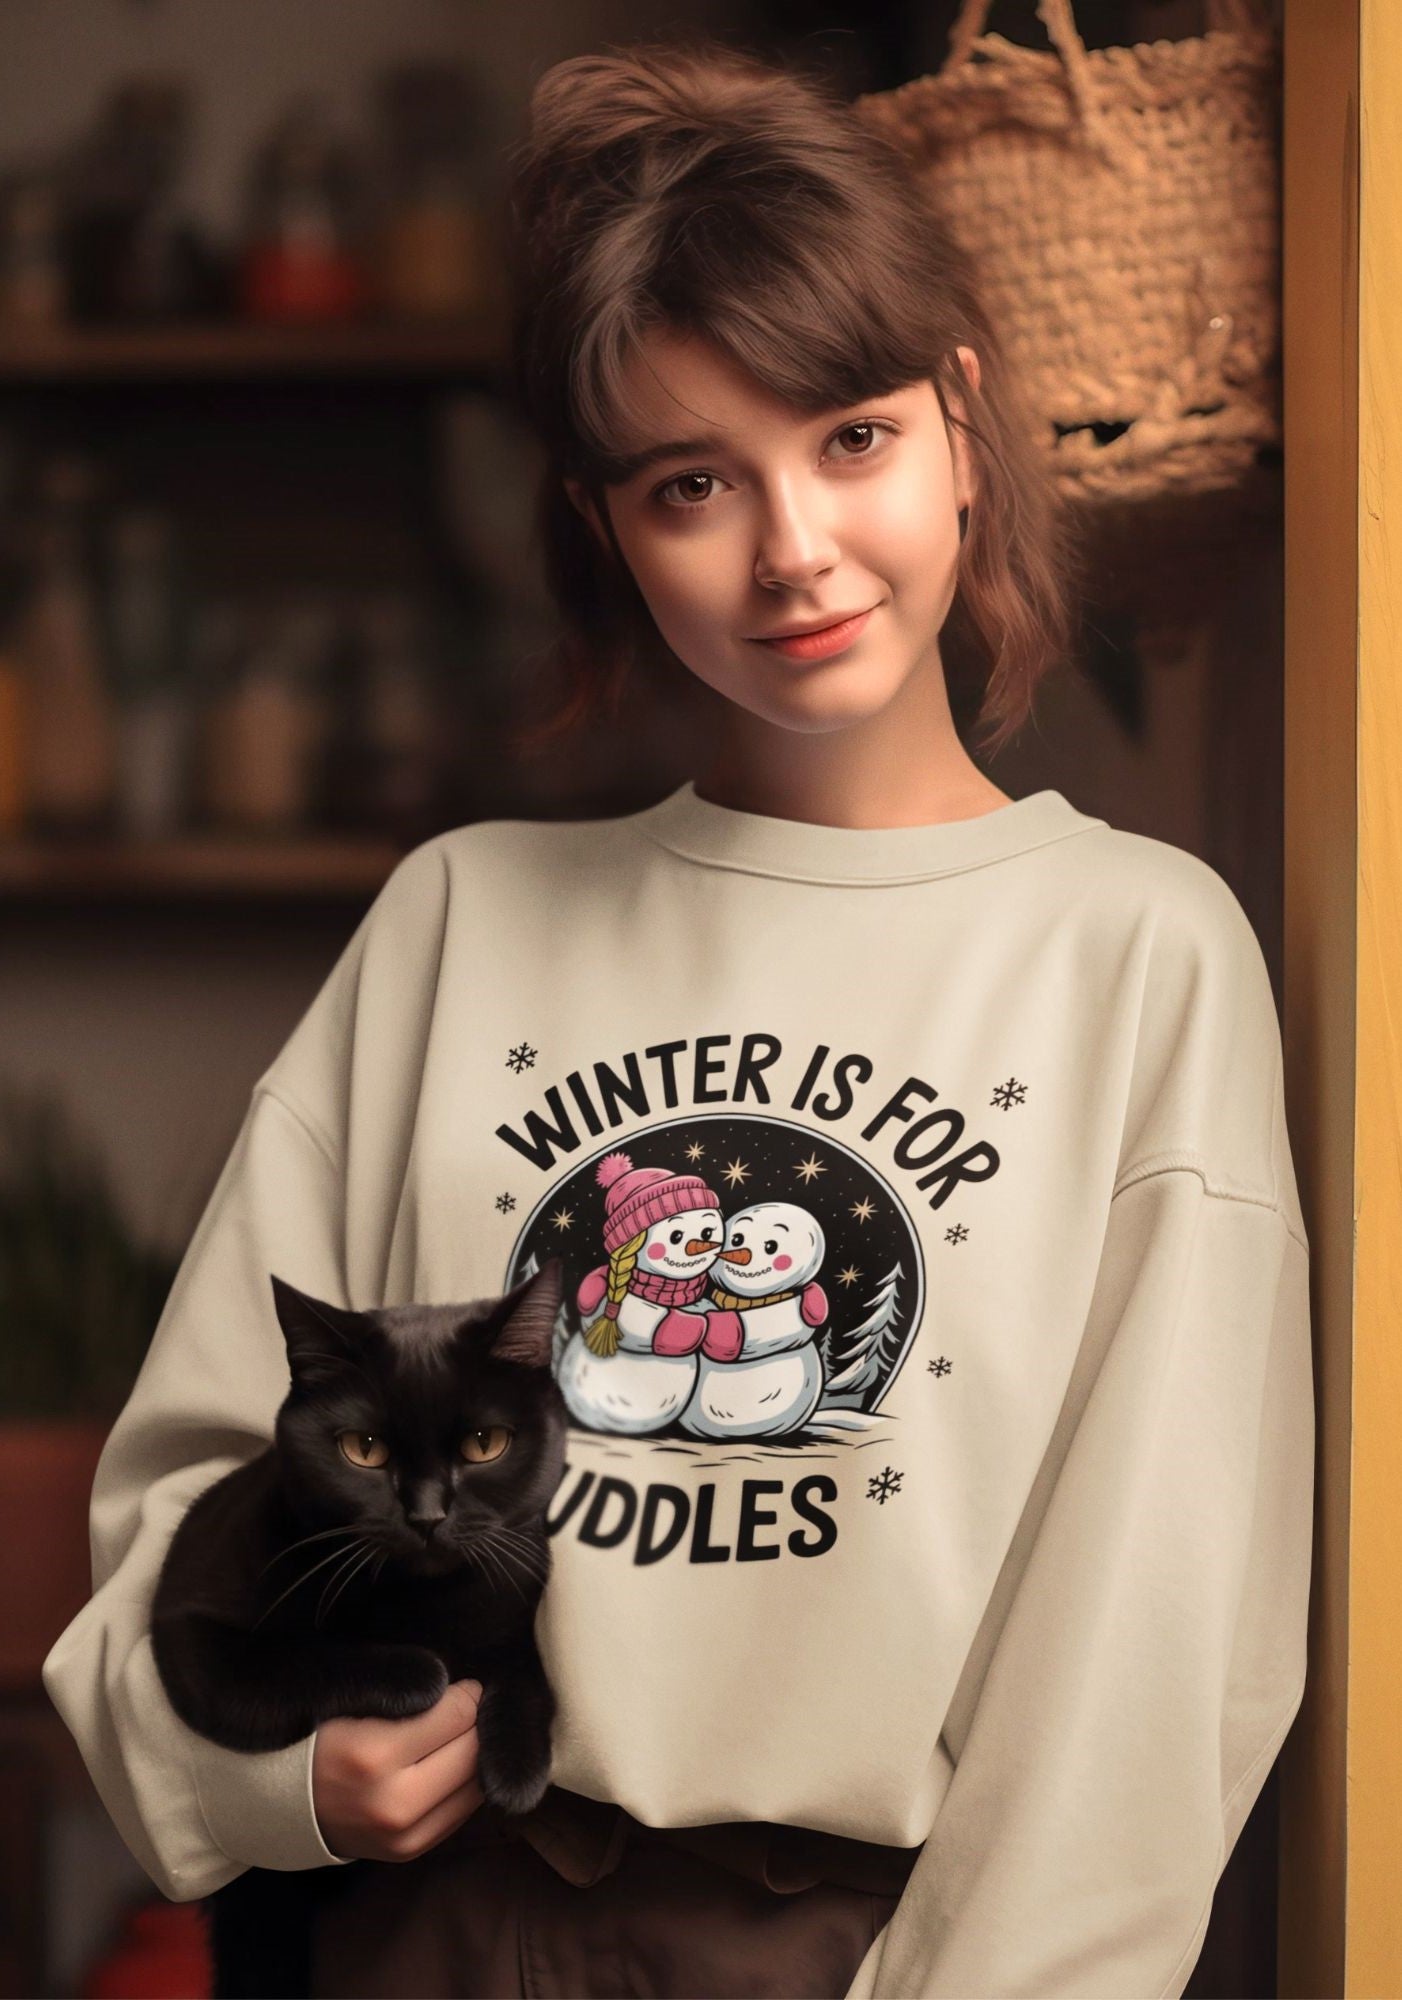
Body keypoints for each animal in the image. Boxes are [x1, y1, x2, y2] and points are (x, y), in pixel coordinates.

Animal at [149, 1256, 568, 1992]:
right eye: (363, 1449)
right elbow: (297, 1661)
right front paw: (419, 1671)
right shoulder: (191, 1635)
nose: (427, 1514)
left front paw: (518, 1767)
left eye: (485, 1444)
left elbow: (521, 1660)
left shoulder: (519, 1581)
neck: (424, 1603)